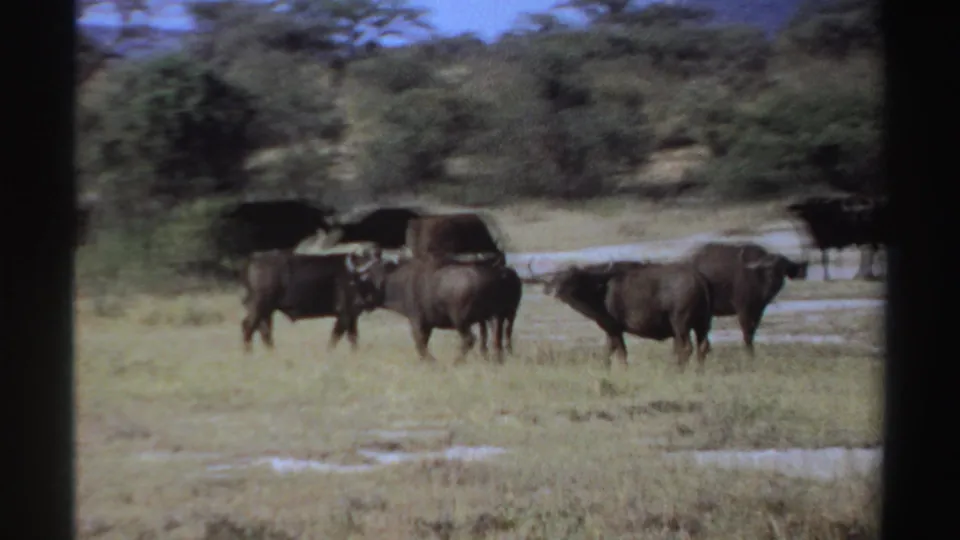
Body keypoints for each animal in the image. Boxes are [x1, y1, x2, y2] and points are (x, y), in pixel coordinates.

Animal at [239, 244, 381, 352]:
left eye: (381, 270)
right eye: (370, 273)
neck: (355, 278)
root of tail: (254, 259)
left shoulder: (353, 316)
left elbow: (353, 338)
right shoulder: (345, 314)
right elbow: (336, 336)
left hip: (266, 310)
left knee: (264, 330)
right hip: (260, 306)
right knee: (248, 326)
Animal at [345, 251, 523, 364]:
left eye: (363, 280)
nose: (357, 303)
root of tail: (500, 273)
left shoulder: (416, 321)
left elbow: (419, 343)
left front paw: (430, 361)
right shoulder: (428, 325)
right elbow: (423, 343)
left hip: (461, 320)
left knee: (469, 339)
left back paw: (456, 361)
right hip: (502, 316)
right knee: (501, 339)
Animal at [529, 261, 714, 372]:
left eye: (573, 277)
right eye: (556, 279)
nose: (557, 292)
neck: (600, 290)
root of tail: (698, 278)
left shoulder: (614, 327)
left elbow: (620, 352)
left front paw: (623, 369)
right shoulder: (609, 330)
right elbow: (608, 350)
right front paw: (604, 367)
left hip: (680, 323)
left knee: (686, 347)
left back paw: (677, 370)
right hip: (703, 324)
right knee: (703, 346)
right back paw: (700, 371)